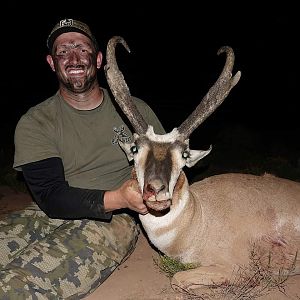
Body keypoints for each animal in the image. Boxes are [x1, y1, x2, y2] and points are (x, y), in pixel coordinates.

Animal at [103, 36, 300, 292]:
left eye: (184, 154)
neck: (199, 219)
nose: (156, 190)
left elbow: (177, 279)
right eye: (135, 149)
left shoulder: (237, 267)